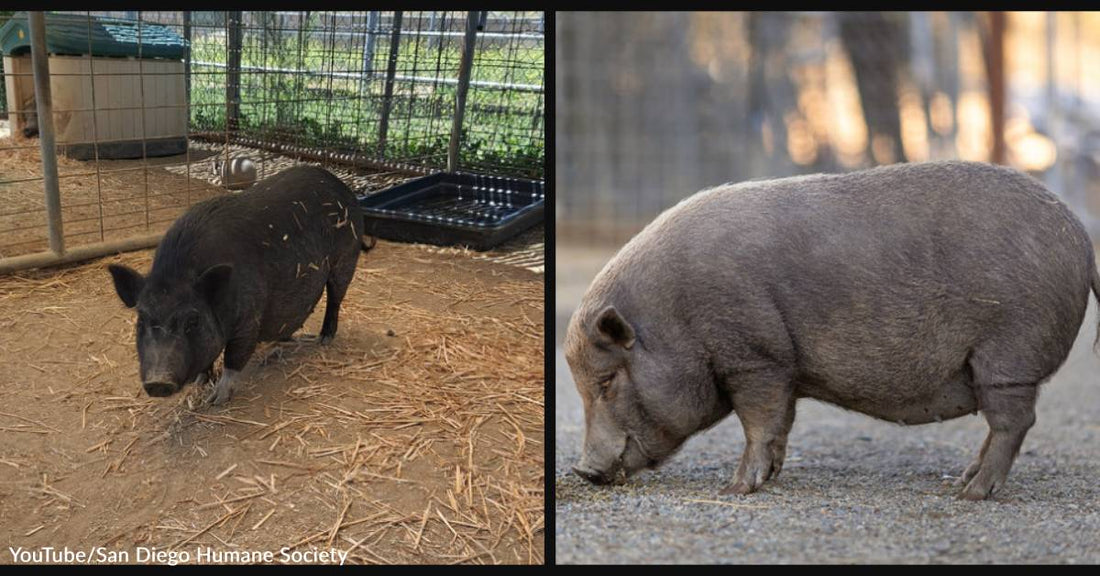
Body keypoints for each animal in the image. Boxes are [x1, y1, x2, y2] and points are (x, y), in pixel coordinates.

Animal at [108, 163, 371, 402]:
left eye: (192, 320)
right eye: (141, 320)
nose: (158, 382)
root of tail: (340, 185)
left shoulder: (249, 319)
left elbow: (234, 357)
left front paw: (216, 399)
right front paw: (200, 382)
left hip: (346, 258)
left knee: (335, 298)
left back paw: (323, 339)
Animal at [567, 160, 1100, 499]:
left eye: (607, 381)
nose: (583, 470)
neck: (674, 315)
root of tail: (1080, 238)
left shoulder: (755, 357)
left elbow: (758, 421)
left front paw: (736, 489)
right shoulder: (783, 371)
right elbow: (780, 424)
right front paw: (769, 477)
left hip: (1009, 355)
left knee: (1014, 422)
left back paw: (970, 494)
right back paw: (958, 480)